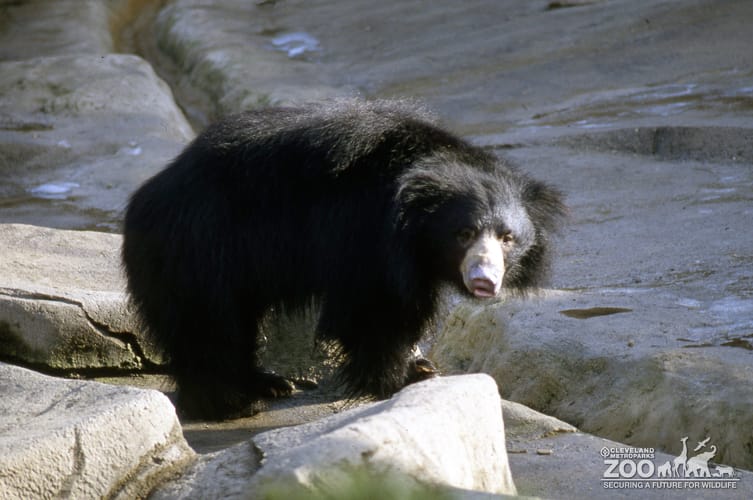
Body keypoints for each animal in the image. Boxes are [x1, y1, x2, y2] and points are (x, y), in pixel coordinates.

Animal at [122, 99, 565, 420]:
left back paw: (268, 382)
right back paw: (230, 404)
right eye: (464, 234)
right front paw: (397, 378)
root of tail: (147, 197)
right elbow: (376, 308)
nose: (485, 280)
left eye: (507, 238)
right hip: (199, 250)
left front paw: (420, 366)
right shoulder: (365, 235)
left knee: (238, 322)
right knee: (208, 325)